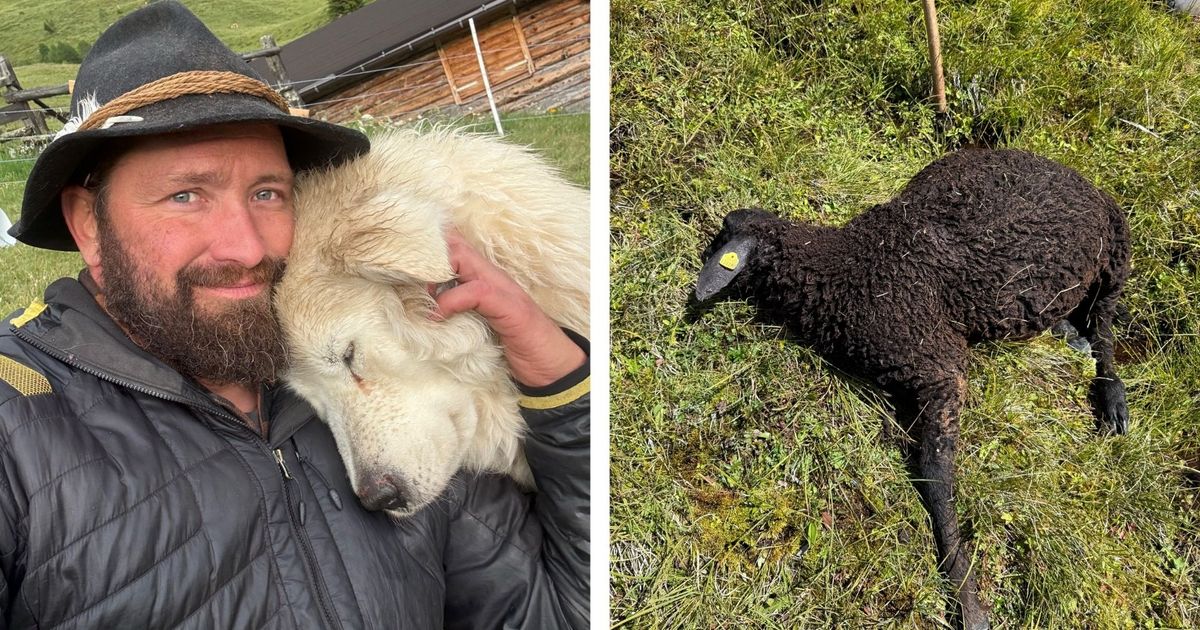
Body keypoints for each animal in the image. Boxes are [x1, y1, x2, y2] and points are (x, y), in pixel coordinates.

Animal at [692, 148, 1130, 630]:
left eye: (721, 239)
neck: (842, 265)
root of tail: (1083, 179)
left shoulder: (938, 365)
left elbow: (935, 475)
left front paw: (965, 597)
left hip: (1115, 255)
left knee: (1105, 325)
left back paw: (1113, 399)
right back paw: (1070, 336)